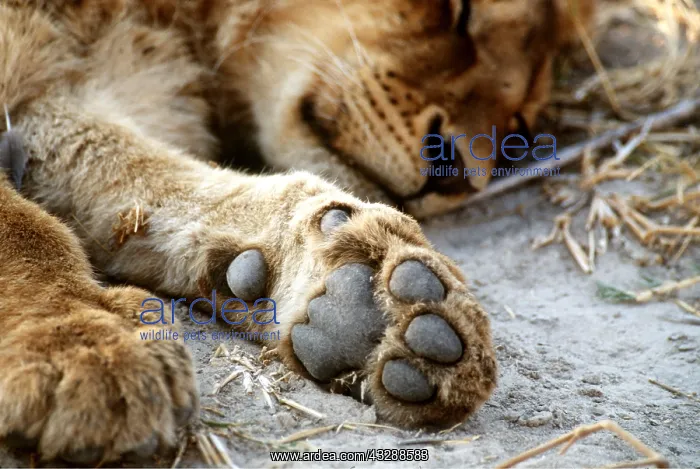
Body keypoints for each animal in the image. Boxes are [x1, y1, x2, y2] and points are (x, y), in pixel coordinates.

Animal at [0, 0, 595, 464]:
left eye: (518, 125)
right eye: (461, 13)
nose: (453, 174)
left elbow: (135, 172)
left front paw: (351, 292)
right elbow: (24, 227)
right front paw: (82, 347)